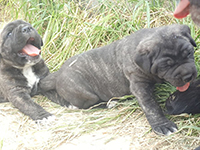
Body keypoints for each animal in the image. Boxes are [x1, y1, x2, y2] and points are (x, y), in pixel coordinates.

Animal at [39, 24, 197, 135]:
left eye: (189, 52)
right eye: (165, 65)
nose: (188, 76)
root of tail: (58, 74)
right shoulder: (139, 86)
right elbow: (151, 106)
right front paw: (162, 125)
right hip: (85, 93)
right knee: (88, 105)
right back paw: (109, 104)